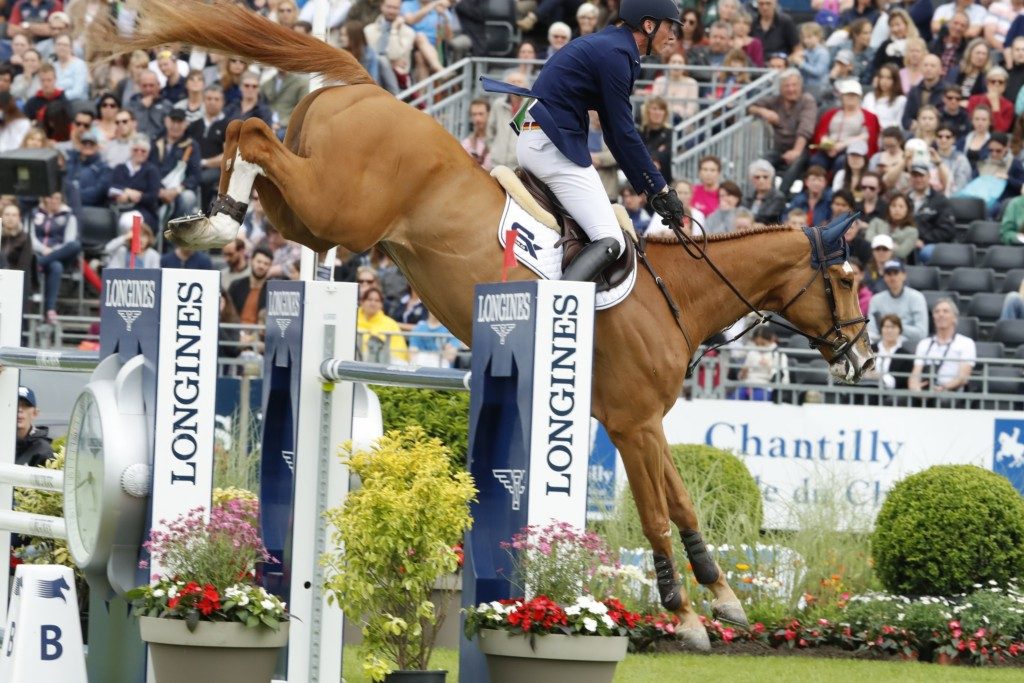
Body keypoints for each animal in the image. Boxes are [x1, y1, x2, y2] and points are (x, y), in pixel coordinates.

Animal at [101, 0, 872, 651]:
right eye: (844, 280)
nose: (863, 360)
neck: (674, 296)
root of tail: (366, 85)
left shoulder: (644, 423)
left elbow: (683, 504)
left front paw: (726, 598)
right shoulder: (632, 422)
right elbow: (658, 512)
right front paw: (685, 618)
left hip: (316, 219)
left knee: (250, 141)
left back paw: (209, 219)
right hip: (339, 209)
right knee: (254, 133)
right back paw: (212, 223)